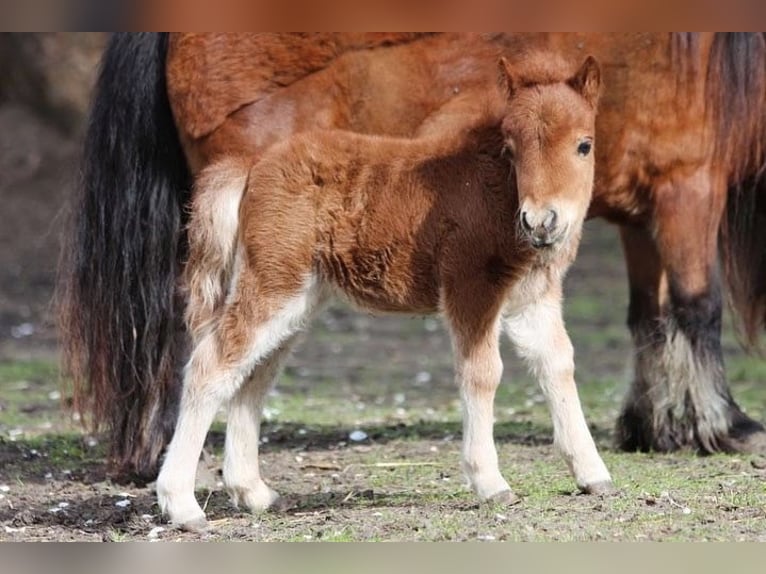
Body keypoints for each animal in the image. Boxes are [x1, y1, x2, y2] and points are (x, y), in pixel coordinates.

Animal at [159, 57, 616, 532]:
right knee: (212, 365)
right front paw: (491, 483)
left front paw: (593, 474)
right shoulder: (470, 287)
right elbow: (483, 372)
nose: (541, 221)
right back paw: (182, 506)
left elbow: (558, 364)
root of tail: (252, 164)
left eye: (584, 145)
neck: (493, 192)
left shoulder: (534, 300)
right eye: (512, 149)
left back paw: (254, 493)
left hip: (296, 300)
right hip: (272, 285)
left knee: (253, 377)